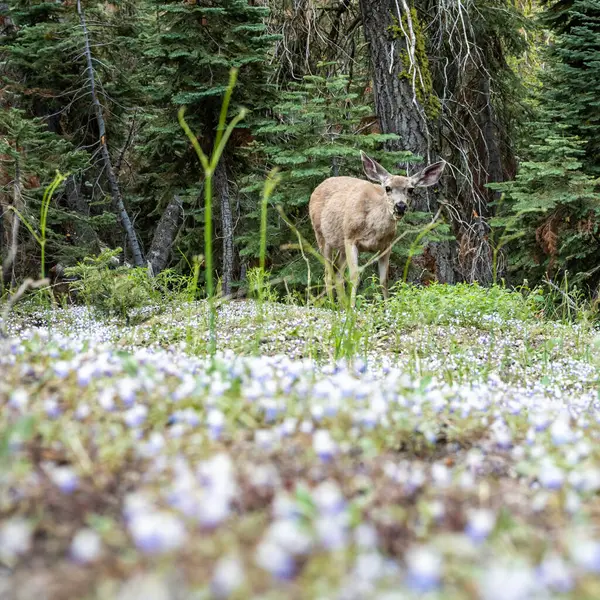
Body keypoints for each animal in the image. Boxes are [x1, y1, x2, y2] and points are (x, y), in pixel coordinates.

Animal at [310, 152, 446, 308]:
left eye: (411, 189)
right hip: (322, 236)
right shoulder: (351, 238)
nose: (400, 206)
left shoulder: (387, 246)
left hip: (341, 245)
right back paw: (333, 306)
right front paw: (353, 307)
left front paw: (386, 307)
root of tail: (318, 187)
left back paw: (342, 307)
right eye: (387, 188)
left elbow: (383, 280)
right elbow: (355, 276)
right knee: (328, 274)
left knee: (337, 273)